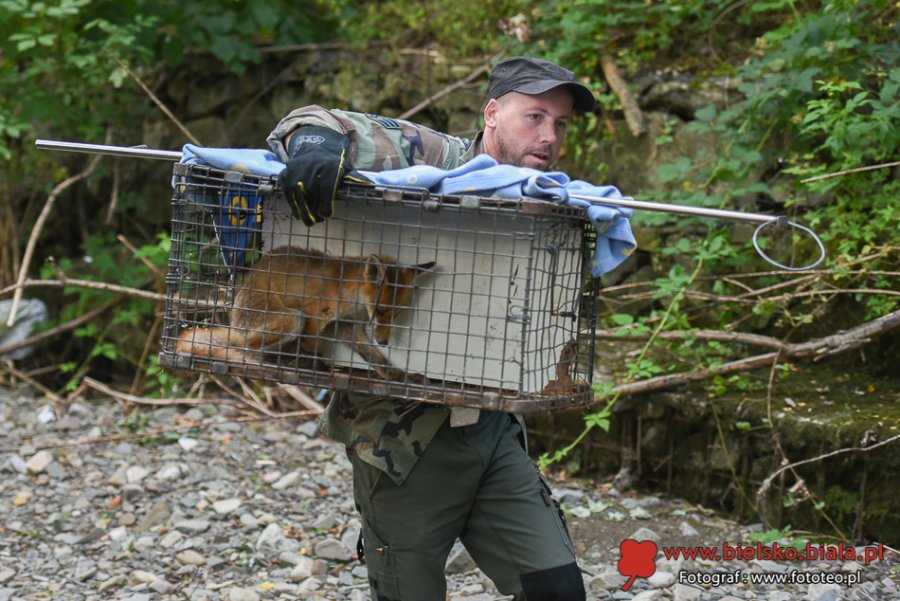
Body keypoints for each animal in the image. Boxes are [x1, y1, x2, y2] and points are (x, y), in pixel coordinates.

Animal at [175, 245, 436, 378]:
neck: (351, 297)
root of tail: (233, 323)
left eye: (396, 313)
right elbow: (312, 348)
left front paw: (399, 376)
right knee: (246, 349)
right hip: (292, 319)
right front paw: (316, 368)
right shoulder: (314, 316)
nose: (383, 341)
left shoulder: (348, 325)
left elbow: (376, 359)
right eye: (380, 310)